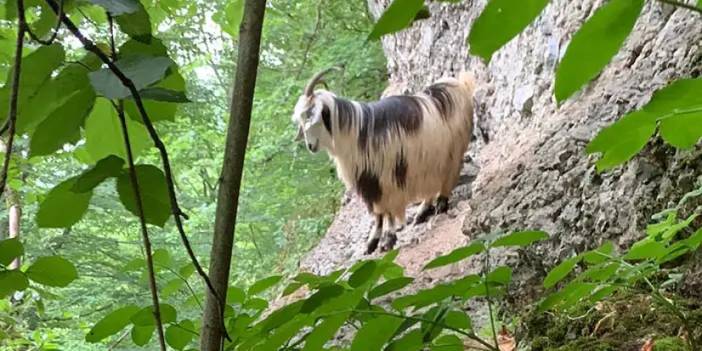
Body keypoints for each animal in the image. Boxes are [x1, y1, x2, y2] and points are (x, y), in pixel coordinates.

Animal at [292, 67, 478, 254]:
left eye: (310, 115)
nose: (310, 146)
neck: (356, 132)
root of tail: (460, 84)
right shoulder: (369, 180)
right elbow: (377, 212)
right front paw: (372, 242)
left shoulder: (386, 176)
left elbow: (387, 209)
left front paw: (387, 239)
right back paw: (422, 212)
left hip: (454, 150)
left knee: (450, 174)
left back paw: (441, 204)